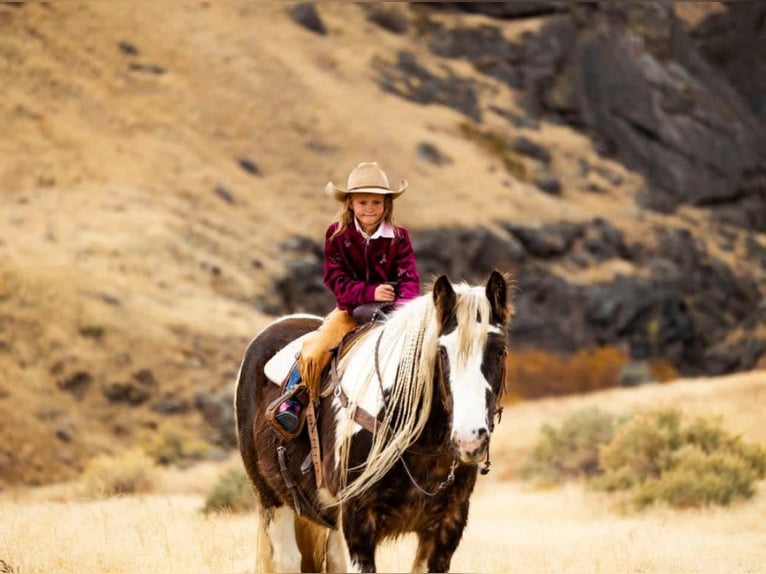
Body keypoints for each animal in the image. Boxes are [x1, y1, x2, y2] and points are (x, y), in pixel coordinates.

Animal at [237, 272, 512, 574]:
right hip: (273, 499)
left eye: (500, 351)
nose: (469, 437)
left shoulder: (447, 526)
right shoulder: (357, 522)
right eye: (442, 352)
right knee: (287, 559)